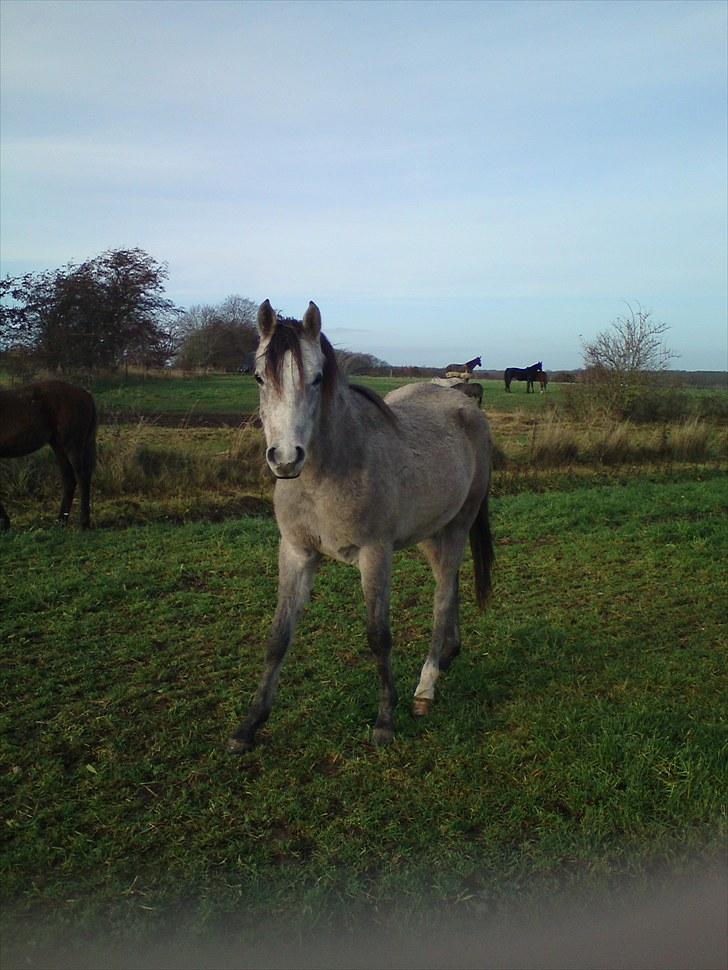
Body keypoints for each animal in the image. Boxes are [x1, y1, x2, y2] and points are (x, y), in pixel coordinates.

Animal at [0, 380, 96, 528]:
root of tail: (86, 394)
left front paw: (5, 522)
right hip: (59, 446)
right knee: (69, 478)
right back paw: (61, 521)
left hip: (72, 447)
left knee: (82, 477)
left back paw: (83, 523)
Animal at [229, 298, 494, 752]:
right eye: (260, 377)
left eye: (317, 377)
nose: (286, 458)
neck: (326, 474)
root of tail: (465, 406)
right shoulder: (295, 552)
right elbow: (278, 637)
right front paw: (249, 725)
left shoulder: (375, 554)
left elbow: (378, 636)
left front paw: (385, 723)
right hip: (430, 532)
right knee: (450, 581)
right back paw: (447, 656)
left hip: (459, 524)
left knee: (443, 594)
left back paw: (426, 687)